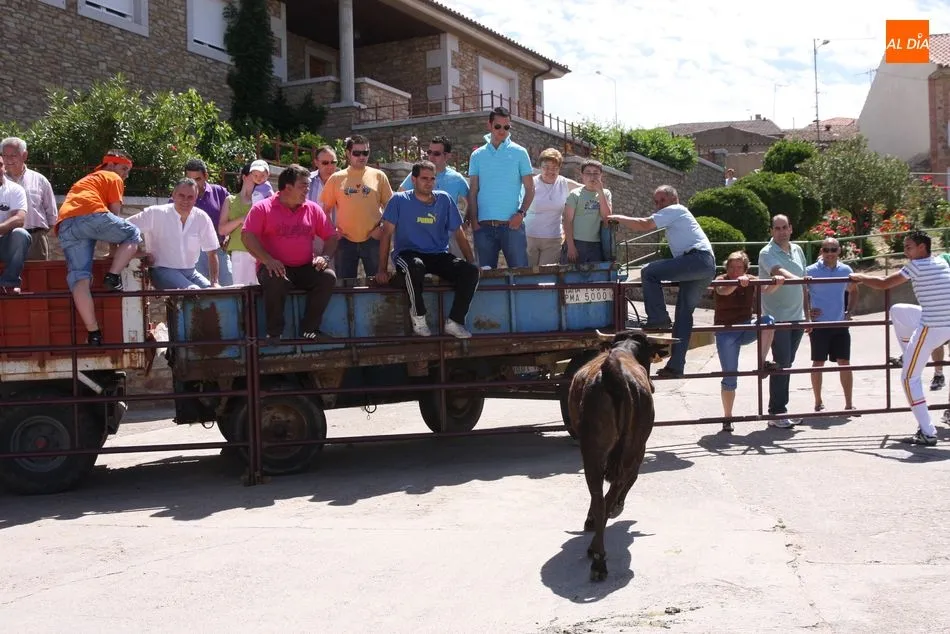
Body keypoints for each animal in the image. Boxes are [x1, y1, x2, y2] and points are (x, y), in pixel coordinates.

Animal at [567, 328, 675, 581]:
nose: (653, 385)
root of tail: (613, 374)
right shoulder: (640, 449)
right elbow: (631, 479)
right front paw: (618, 507)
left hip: (596, 452)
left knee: (600, 496)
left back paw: (597, 552)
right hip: (628, 448)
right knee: (612, 490)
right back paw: (598, 556)